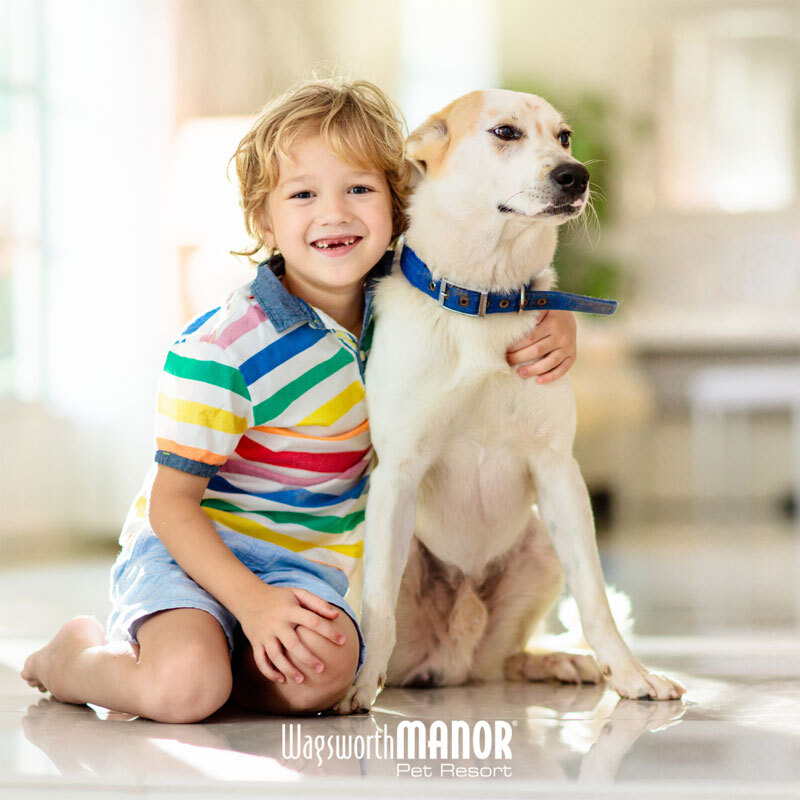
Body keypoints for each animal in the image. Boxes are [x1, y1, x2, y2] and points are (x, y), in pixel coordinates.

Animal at [334, 89, 684, 712]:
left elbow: (594, 598)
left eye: (565, 137)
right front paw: (358, 683)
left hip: (541, 544)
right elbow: (377, 607)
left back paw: (561, 662)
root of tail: (454, 661)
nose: (576, 175)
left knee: (509, 657)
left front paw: (630, 674)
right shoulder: (397, 474)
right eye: (505, 132)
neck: (483, 300)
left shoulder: (558, 471)